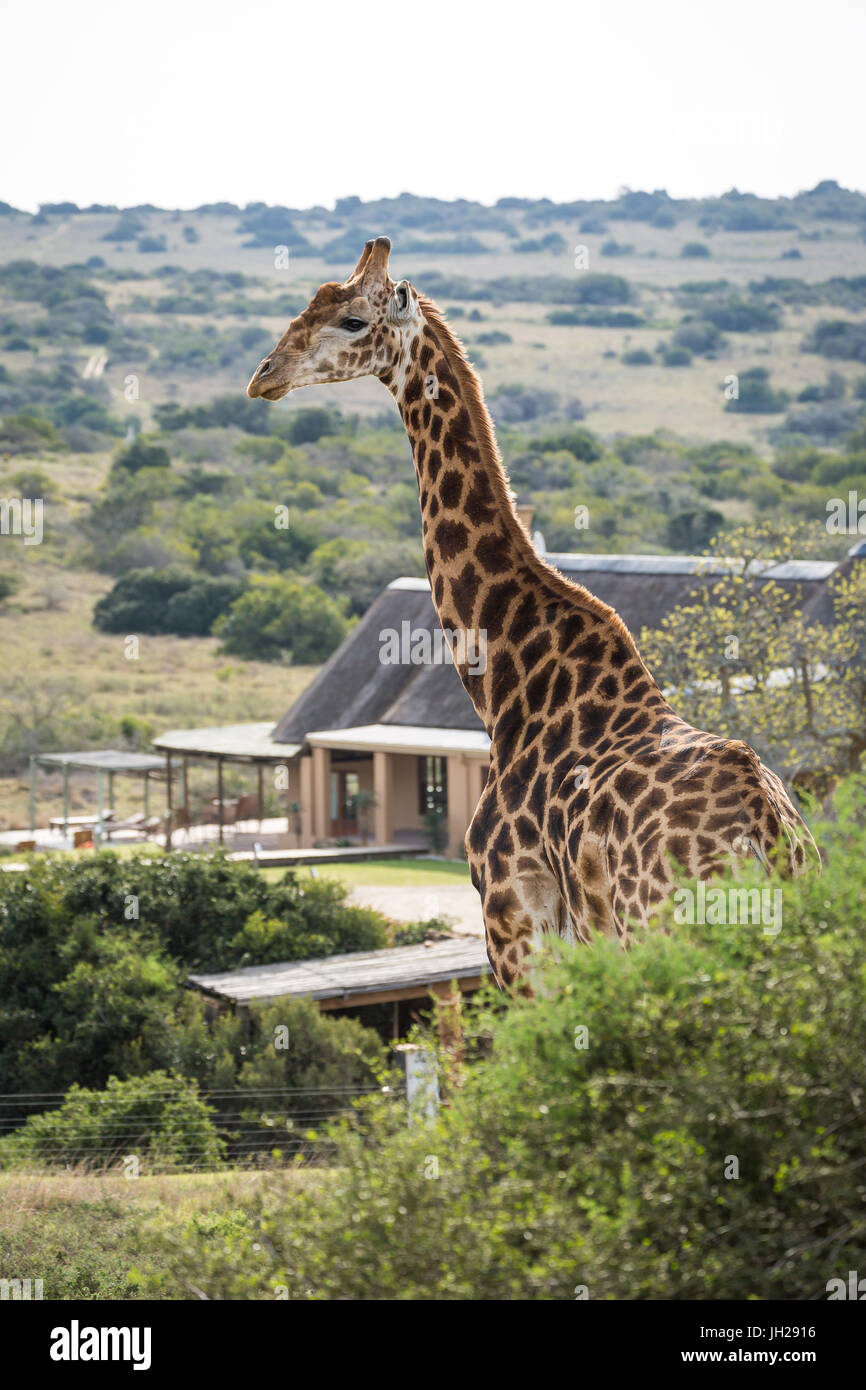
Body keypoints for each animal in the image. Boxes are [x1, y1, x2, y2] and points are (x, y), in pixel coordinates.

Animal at [246, 233, 817, 984]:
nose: (263, 377)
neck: (505, 682)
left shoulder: (513, 921)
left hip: (668, 937)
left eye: (351, 320)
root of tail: (766, 836)